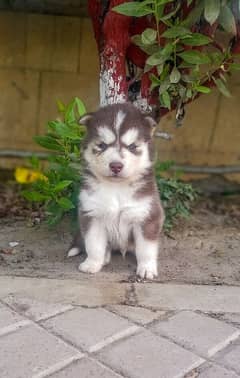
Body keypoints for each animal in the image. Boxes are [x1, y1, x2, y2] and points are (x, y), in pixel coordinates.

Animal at [68, 102, 165, 280]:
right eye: (102, 145)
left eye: (132, 146)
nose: (116, 166)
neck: (117, 187)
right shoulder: (92, 214)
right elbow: (94, 244)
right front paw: (92, 263)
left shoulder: (147, 215)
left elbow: (146, 248)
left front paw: (147, 268)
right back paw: (105, 257)